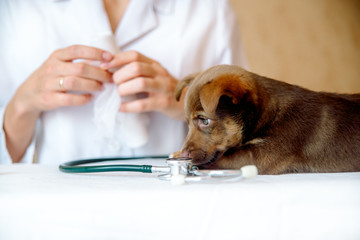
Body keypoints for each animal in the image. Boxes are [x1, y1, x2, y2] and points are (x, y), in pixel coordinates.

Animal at [174, 64, 360, 174]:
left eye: (204, 121)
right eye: (187, 123)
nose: (183, 153)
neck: (266, 114)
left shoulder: (259, 156)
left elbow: (225, 156)